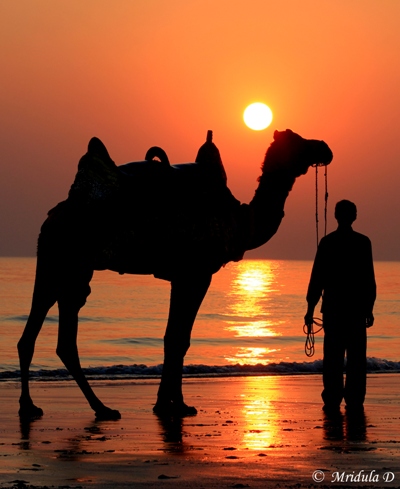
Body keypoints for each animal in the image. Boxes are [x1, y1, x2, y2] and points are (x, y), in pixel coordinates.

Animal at [17, 130, 332, 420]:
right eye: (299, 141)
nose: (325, 148)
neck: (243, 222)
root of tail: (52, 217)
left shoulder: (181, 276)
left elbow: (173, 337)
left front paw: (165, 403)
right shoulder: (197, 273)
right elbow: (180, 339)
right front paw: (176, 404)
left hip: (63, 268)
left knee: (50, 335)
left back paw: (79, 407)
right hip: (67, 264)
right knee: (52, 334)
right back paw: (69, 407)